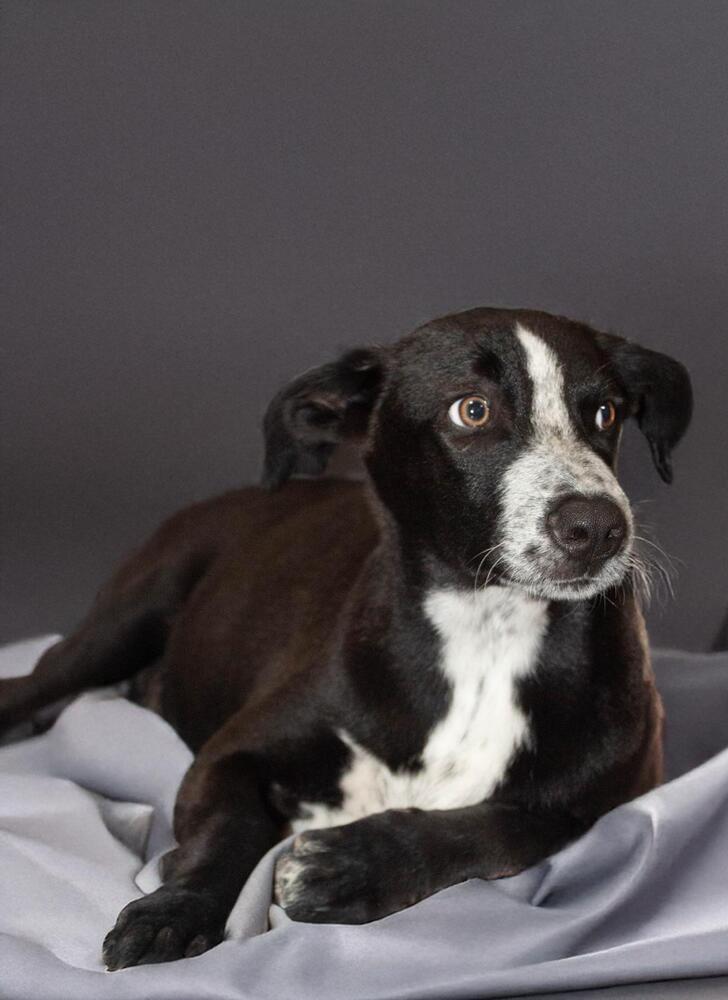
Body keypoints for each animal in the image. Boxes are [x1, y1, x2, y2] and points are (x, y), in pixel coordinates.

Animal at [0, 306, 692, 968]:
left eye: (604, 413)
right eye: (472, 409)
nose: (599, 527)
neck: (486, 632)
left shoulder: (607, 798)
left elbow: (504, 824)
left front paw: (352, 867)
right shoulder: (228, 753)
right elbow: (229, 828)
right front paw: (173, 911)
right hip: (122, 621)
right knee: (35, 680)